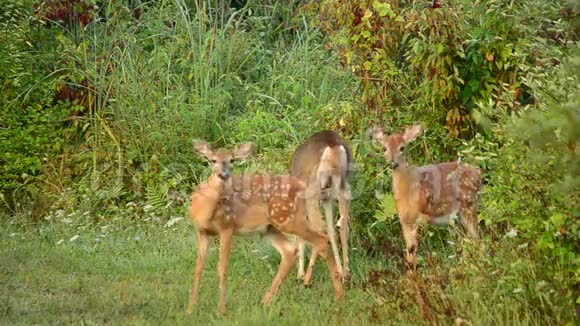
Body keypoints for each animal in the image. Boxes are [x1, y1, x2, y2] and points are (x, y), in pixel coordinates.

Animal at [189, 140, 344, 314]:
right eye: (212, 160)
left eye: (232, 160)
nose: (224, 174)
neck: (205, 210)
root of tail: (303, 186)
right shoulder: (201, 231)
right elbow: (198, 268)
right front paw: (191, 308)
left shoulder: (227, 227)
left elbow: (222, 267)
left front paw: (221, 310)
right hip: (271, 228)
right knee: (290, 251)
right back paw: (265, 300)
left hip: (290, 220)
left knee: (322, 239)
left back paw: (338, 295)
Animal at [290, 130, 354, 282]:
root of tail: (333, 146)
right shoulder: (327, 200)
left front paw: (300, 273)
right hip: (344, 187)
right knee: (341, 226)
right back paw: (345, 273)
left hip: (313, 191)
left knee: (322, 230)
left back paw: (307, 278)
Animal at [372, 125, 480, 268]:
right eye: (385, 148)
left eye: (402, 147)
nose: (393, 163)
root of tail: (478, 172)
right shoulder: (404, 220)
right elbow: (409, 252)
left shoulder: (420, 216)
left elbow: (414, 250)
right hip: (456, 218)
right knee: (467, 240)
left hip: (468, 204)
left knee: (477, 237)